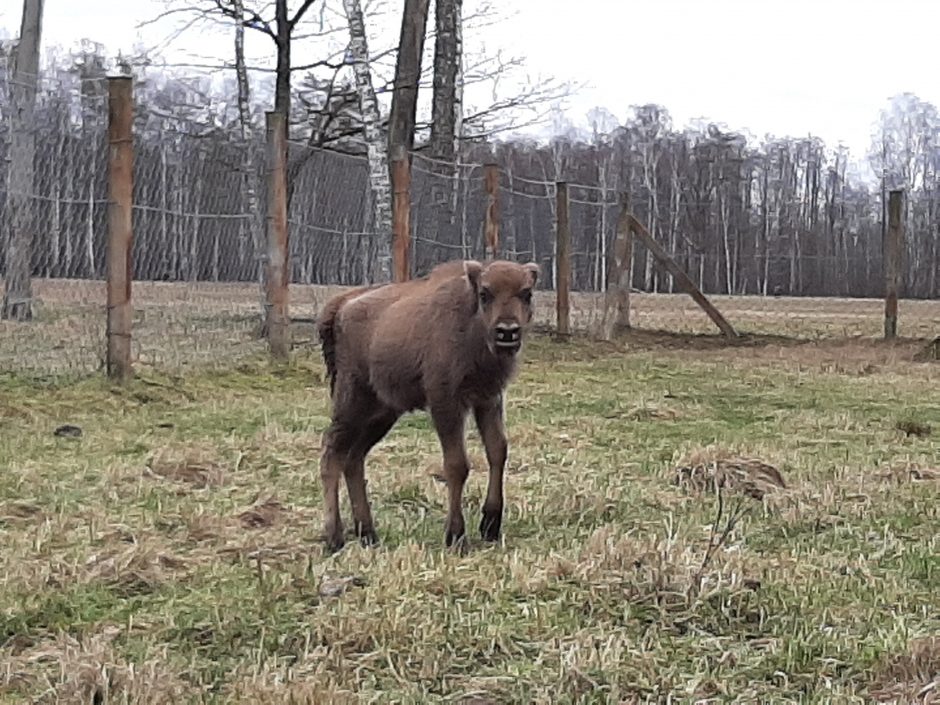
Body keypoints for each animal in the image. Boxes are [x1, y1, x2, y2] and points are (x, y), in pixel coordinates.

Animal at [316, 258, 540, 552]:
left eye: (526, 293)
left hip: (383, 413)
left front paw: (490, 525)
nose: (507, 332)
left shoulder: (488, 399)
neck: (470, 324)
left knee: (354, 458)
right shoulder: (445, 402)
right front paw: (456, 535)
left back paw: (368, 534)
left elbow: (497, 451)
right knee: (332, 455)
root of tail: (341, 304)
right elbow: (457, 464)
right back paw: (335, 537)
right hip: (352, 402)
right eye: (485, 293)